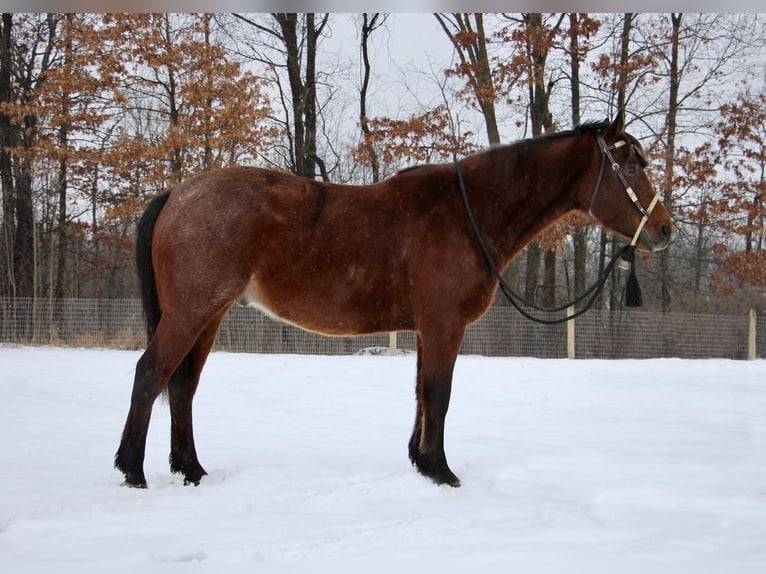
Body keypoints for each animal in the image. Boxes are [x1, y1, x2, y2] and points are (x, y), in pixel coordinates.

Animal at [114, 112, 672, 490]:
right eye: (630, 165)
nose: (664, 230)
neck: (467, 213)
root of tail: (176, 194)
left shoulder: (427, 327)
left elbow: (423, 395)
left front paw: (423, 464)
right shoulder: (445, 324)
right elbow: (439, 395)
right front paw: (443, 472)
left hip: (209, 313)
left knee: (182, 384)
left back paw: (191, 469)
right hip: (191, 311)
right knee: (150, 374)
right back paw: (132, 471)